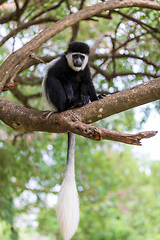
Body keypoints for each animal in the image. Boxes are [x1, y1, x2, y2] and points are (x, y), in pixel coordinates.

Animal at [42, 42, 102, 240]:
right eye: (74, 55)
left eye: (81, 57)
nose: (77, 61)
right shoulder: (61, 64)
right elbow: (55, 75)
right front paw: (68, 89)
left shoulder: (86, 69)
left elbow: (88, 82)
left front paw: (97, 97)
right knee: (53, 81)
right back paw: (68, 105)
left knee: (83, 85)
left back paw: (83, 100)